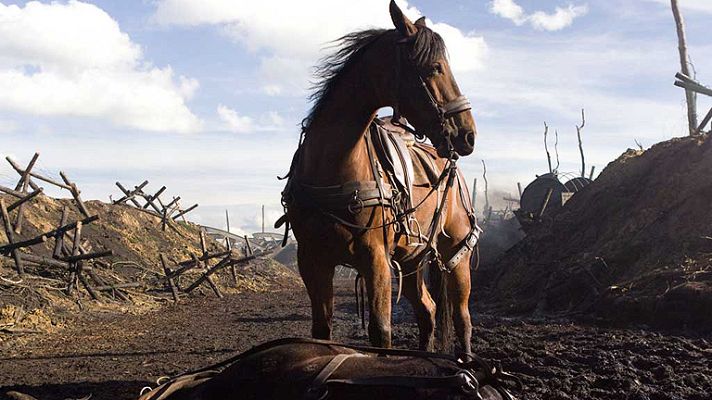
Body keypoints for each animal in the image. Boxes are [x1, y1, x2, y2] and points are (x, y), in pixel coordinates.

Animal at [279, 0, 480, 355]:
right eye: (434, 67)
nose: (468, 134)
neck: (332, 167)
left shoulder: (376, 259)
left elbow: (380, 332)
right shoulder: (312, 260)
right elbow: (321, 330)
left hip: (456, 253)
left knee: (461, 317)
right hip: (413, 259)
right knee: (427, 311)